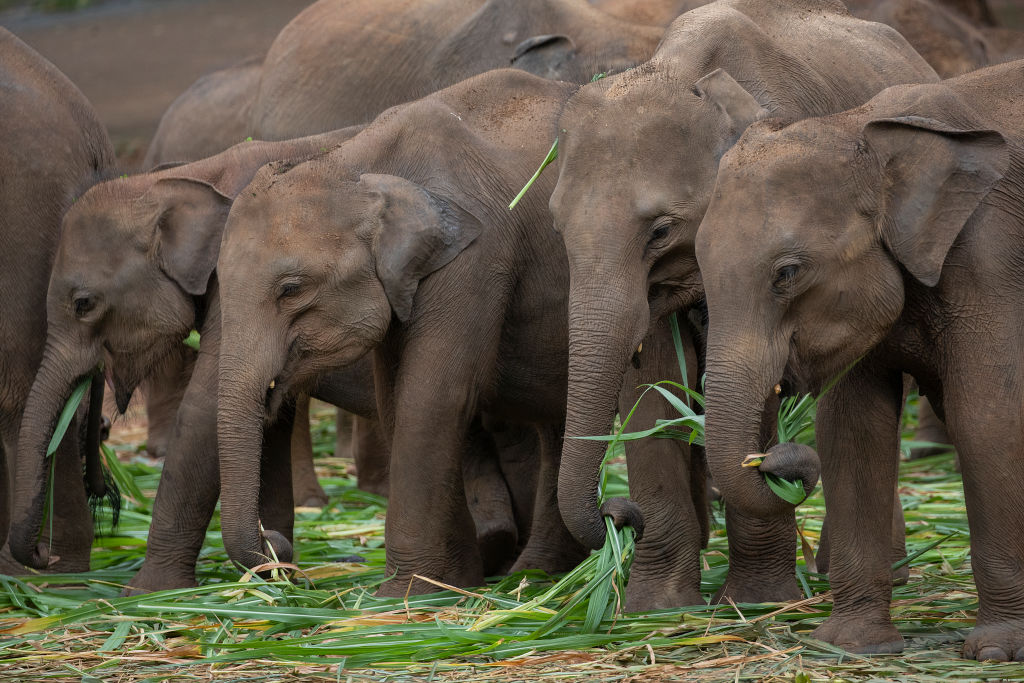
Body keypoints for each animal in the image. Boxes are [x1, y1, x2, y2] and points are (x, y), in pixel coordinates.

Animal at [210, 68, 709, 596]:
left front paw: (402, 597)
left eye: (290, 289)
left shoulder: (475, 257)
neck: (355, 163)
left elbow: (433, 397)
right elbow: (396, 400)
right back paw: (537, 572)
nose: (279, 551)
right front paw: (453, 581)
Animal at [547, 0, 938, 609]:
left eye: (660, 230)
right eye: (556, 225)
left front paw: (757, 600)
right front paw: (656, 607)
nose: (618, 513)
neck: (681, 70)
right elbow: (653, 382)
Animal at [693, 59, 1024, 660]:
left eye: (787, 273)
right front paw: (850, 645)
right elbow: (852, 431)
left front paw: (997, 650)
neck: (861, 128)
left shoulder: (992, 258)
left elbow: (988, 420)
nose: (771, 461)